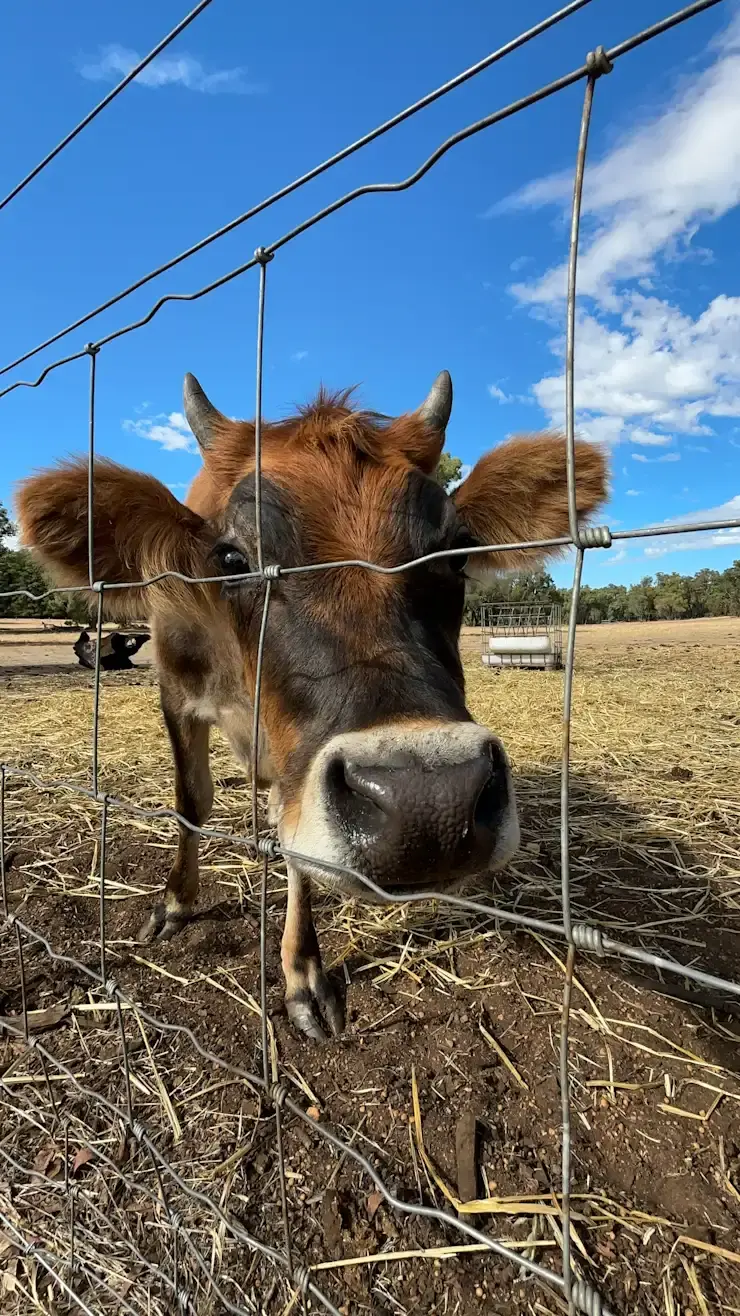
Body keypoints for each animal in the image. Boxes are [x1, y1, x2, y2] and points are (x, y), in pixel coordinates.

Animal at [16, 371, 607, 1040]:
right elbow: (192, 801)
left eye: (455, 554)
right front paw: (176, 902)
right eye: (231, 559)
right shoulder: (176, 691)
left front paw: (301, 972)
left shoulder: (293, 753)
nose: (430, 803)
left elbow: (289, 835)